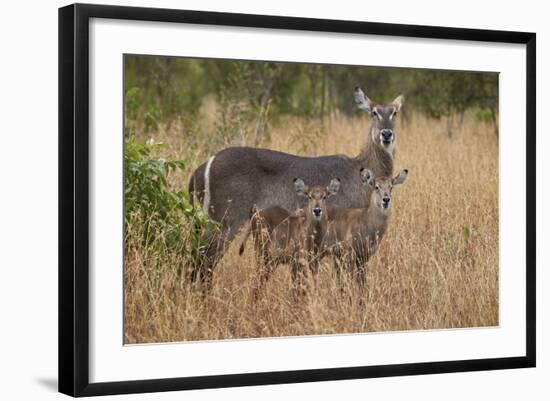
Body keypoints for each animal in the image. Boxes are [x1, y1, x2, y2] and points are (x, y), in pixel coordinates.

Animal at [190, 87, 406, 282]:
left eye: (394, 112)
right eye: (374, 112)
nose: (386, 134)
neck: (359, 171)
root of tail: (202, 168)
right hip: (224, 221)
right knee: (203, 261)